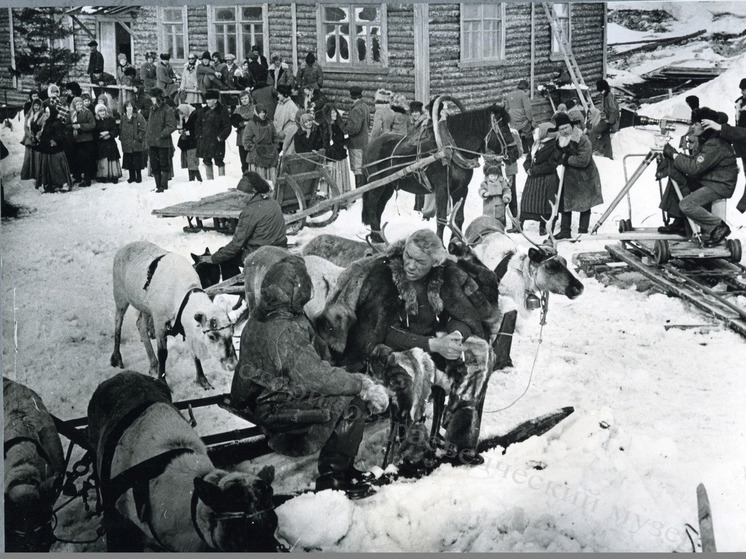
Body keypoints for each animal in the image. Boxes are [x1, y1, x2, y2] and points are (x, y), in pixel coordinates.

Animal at [362, 95, 516, 243]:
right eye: (502, 127)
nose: (516, 152)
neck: (451, 149)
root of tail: (370, 146)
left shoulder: (461, 189)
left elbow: (459, 219)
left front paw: (455, 243)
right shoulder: (441, 189)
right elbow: (442, 219)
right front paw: (441, 245)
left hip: (388, 186)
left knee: (379, 208)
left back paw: (376, 236)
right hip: (376, 185)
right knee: (372, 206)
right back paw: (376, 238)